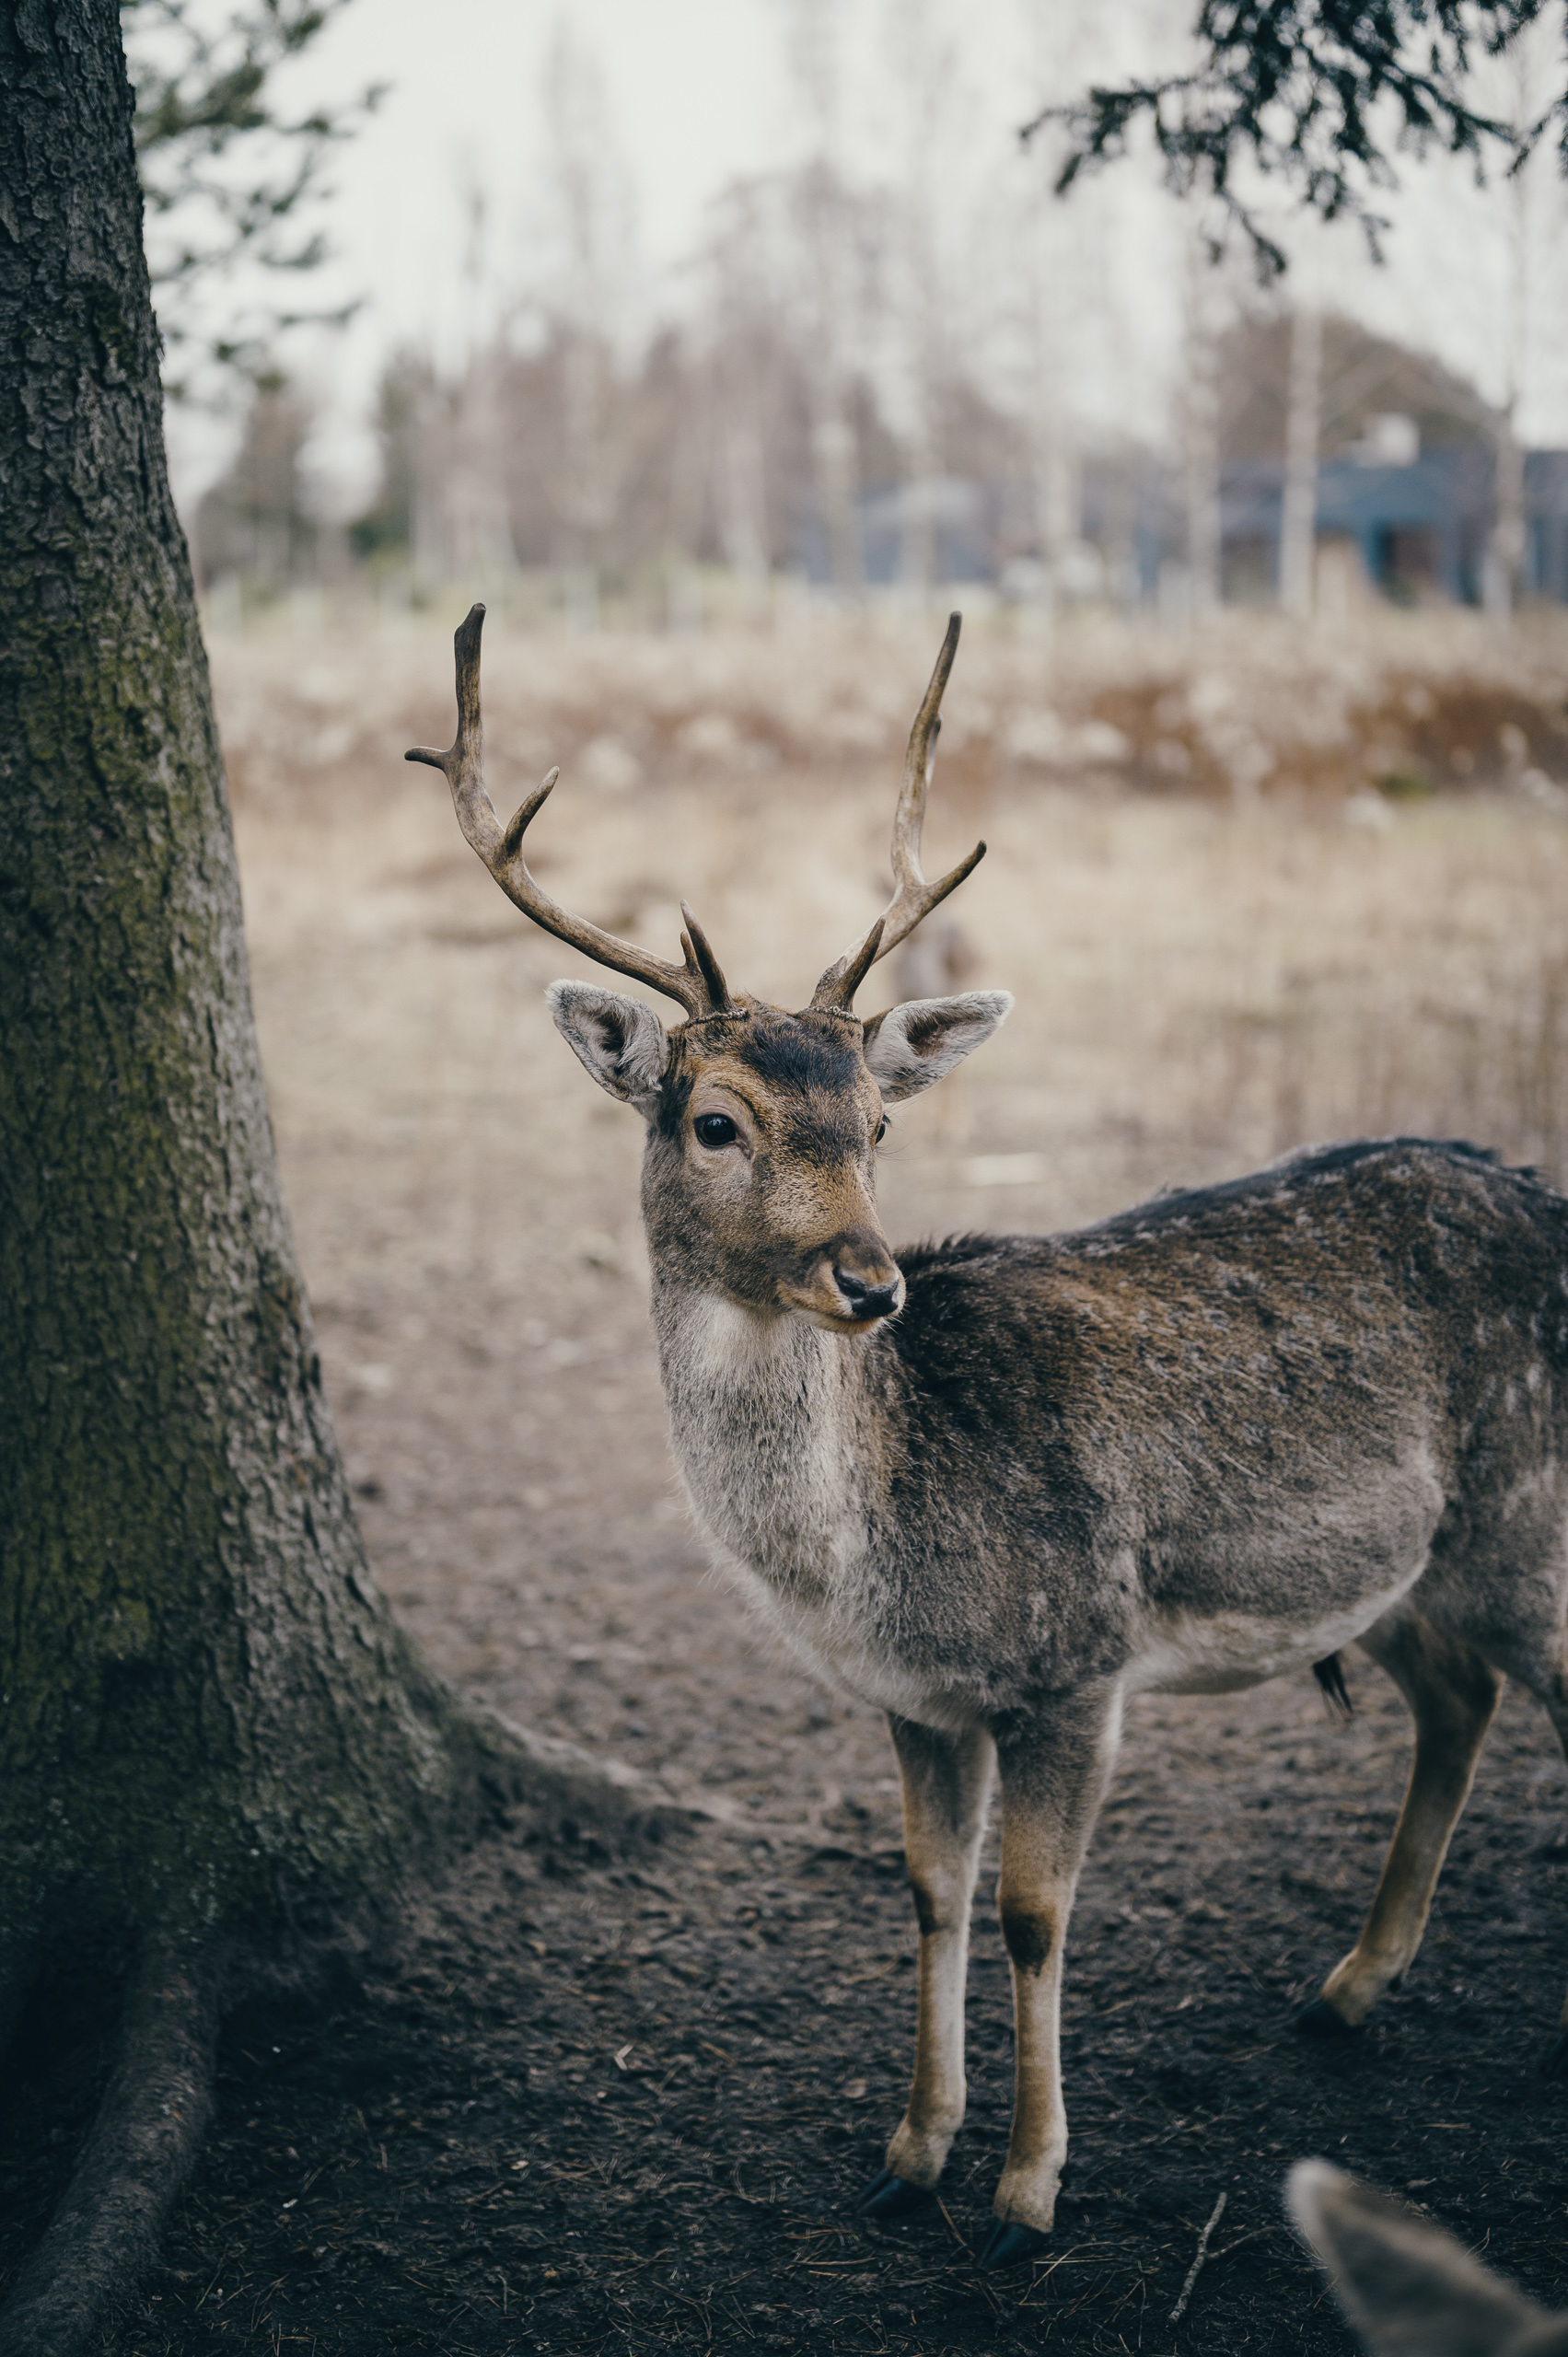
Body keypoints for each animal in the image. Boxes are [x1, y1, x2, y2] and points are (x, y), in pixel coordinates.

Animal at [412, 603, 1565, 2262]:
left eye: (877, 1124)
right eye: (714, 1121)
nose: (868, 1280)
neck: (872, 1564)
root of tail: (1543, 1194)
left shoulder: (1073, 1659)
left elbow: (1033, 1912)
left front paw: (1027, 2190)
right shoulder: (914, 1697)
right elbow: (927, 1893)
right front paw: (910, 2149)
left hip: (1526, 1512)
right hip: (1404, 1567)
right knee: (1456, 1698)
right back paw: (1345, 1992)